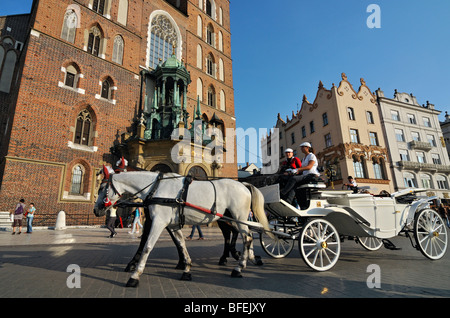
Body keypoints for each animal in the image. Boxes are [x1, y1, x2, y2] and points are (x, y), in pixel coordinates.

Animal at [93, 170, 270, 286]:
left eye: (102, 188)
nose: (96, 210)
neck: (156, 188)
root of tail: (244, 185)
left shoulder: (158, 222)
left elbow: (147, 246)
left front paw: (135, 275)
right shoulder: (172, 225)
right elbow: (181, 244)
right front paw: (186, 269)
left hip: (239, 217)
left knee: (246, 238)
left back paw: (239, 267)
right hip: (232, 219)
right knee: (243, 236)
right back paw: (245, 260)